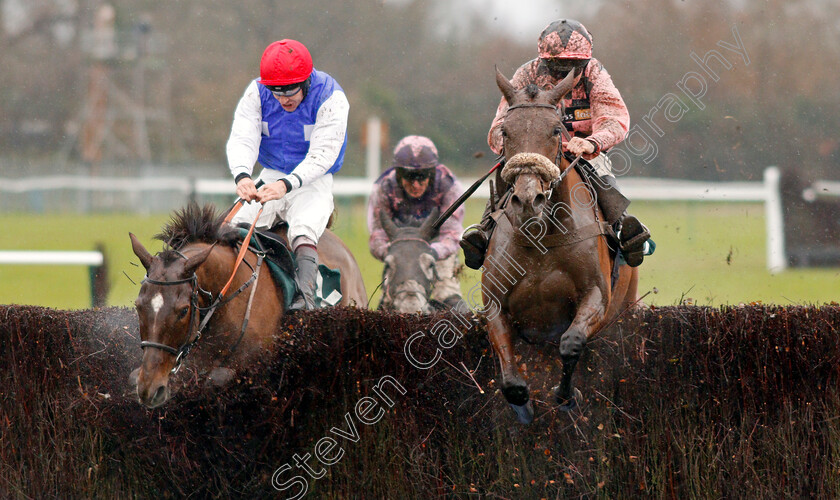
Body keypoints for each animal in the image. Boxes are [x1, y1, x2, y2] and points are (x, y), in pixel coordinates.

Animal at [482, 68, 640, 424]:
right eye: (506, 131)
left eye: (556, 130)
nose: (528, 199)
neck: (542, 236)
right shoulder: (495, 305)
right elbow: (511, 379)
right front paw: (524, 408)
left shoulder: (596, 295)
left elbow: (571, 342)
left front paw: (567, 395)